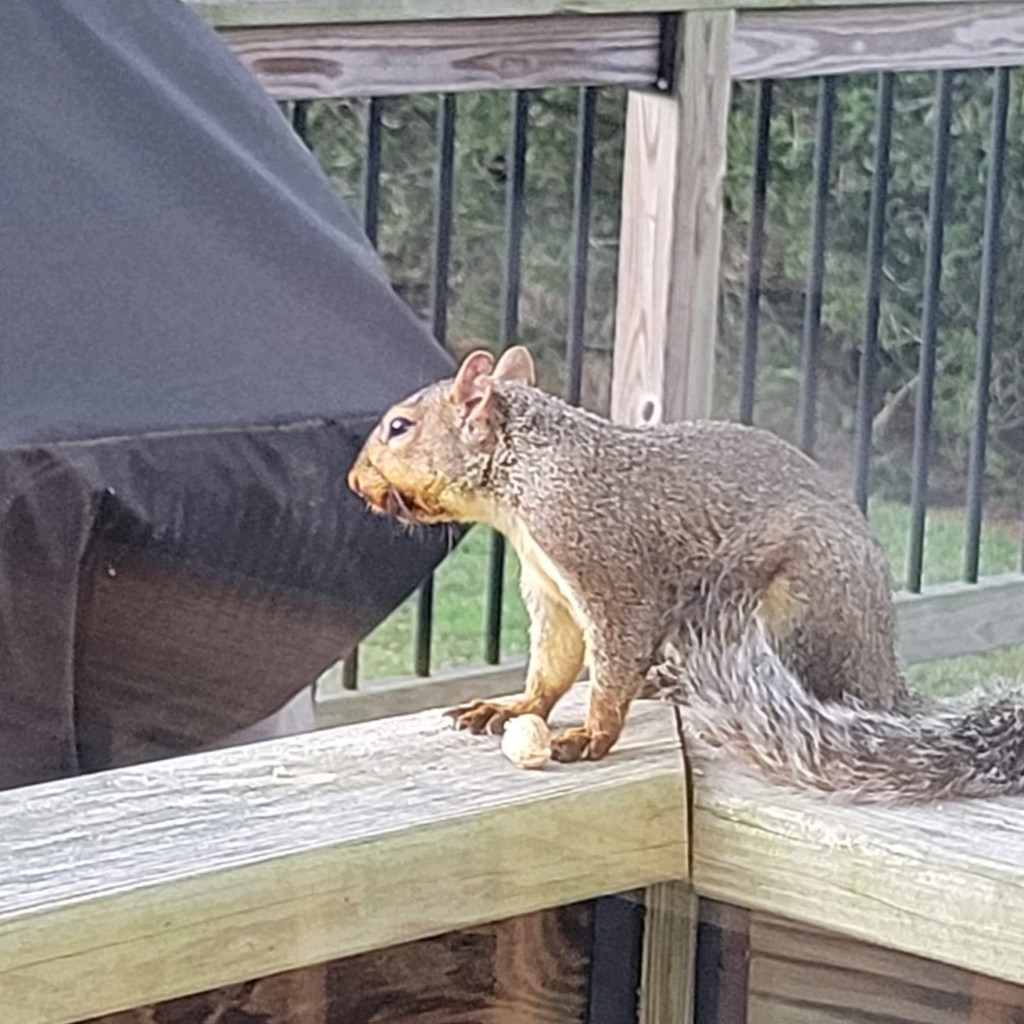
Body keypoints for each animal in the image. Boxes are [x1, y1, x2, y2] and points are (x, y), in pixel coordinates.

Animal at [348, 345, 1024, 801]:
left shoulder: (605, 566)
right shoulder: (550, 588)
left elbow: (613, 657)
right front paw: (513, 705)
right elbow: (554, 661)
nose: (355, 482)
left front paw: (591, 735)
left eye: (400, 428)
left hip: (798, 609)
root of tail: (882, 672)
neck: (528, 472)